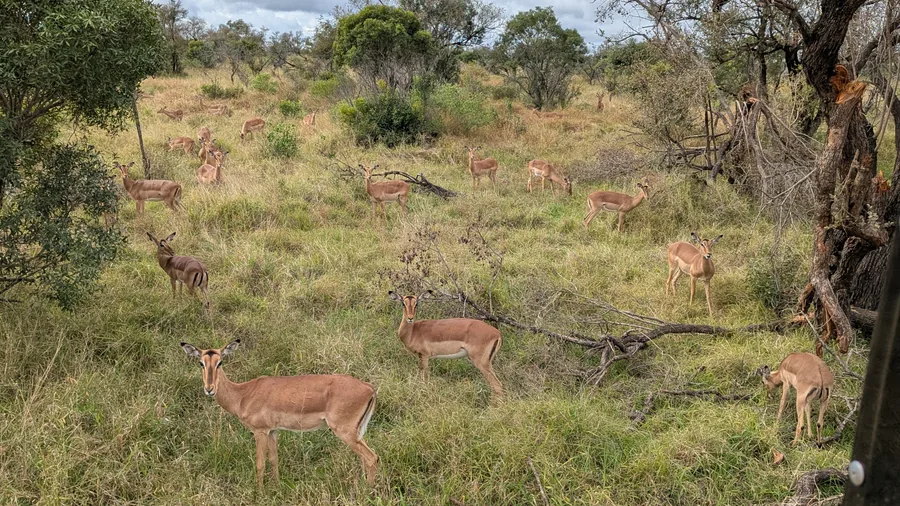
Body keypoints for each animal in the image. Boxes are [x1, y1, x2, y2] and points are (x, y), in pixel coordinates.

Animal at [180, 340, 378, 490]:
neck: (243, 394)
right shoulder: (273, 431)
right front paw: (276, 488)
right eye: (201, 363)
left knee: (371, 457)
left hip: (345, 432)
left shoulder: (260, 431)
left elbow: (260, 463)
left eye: (220, 362)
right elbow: (274, 459)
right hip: (356, 433)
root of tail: (369, 388)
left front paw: (259, 493)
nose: (209, 389)